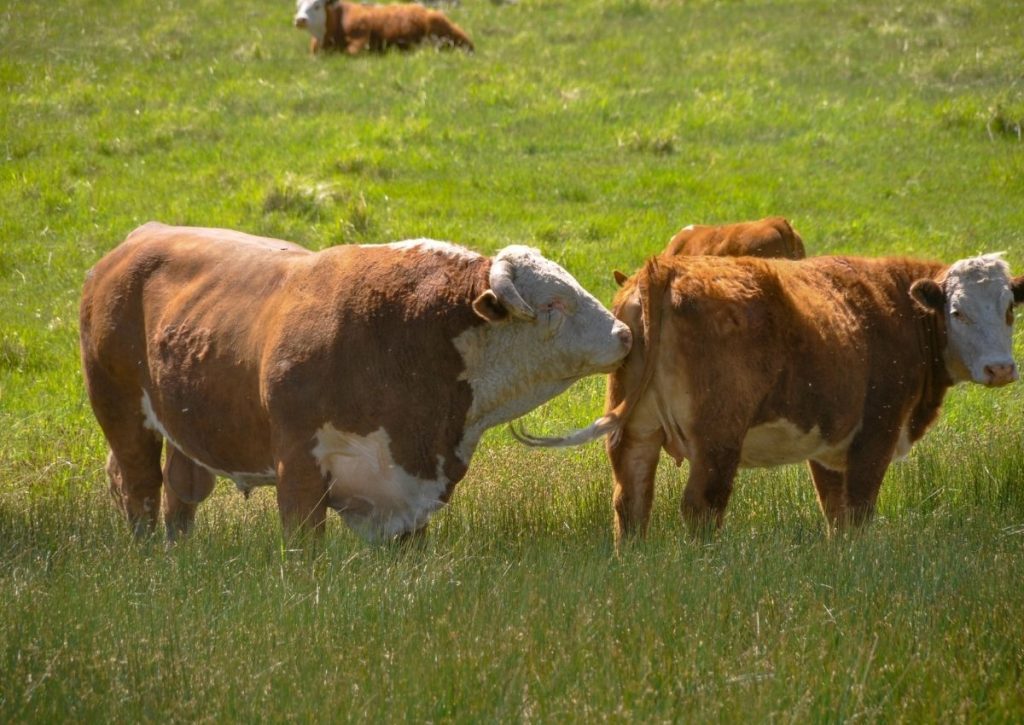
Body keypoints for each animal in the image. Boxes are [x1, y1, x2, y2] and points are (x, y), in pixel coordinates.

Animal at [79, 223, 626, 540]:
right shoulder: (299, 469)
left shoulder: (407, 494)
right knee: (140, 492)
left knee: (180, 497)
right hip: (122, 417)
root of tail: (138, 239)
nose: (623, 334)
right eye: (553, 304)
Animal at [516, 251, 1024, 540]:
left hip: (634, 432)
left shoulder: (828, 446)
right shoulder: (875, 434)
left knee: (631, 504)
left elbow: (835, 514)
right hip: (718, 440)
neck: (896, 307)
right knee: (701, 508)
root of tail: (667, 269)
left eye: (1009, 311)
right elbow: (858, 513)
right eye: (957, 312)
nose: (1000, 368)